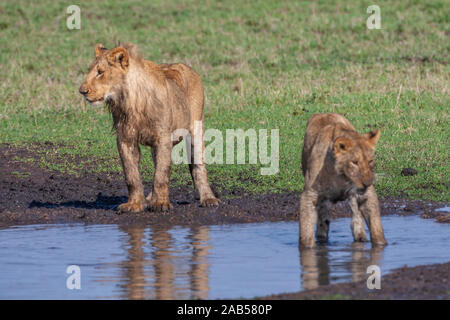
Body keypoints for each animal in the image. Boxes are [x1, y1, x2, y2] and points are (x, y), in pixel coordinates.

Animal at [79, 42, 220, 212]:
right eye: (90, 70)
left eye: (100, 72)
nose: (82, 91)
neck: (130, 101)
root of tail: (187, 67)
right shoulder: (125, 139)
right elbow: (132, 175)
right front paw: (135, 204)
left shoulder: (163, 137)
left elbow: (161, 174)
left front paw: (160, 204)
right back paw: (149, 199)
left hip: (196, 129)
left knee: (198, 166)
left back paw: (208, 199)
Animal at [298, 112, 386, 248]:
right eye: (354, 162)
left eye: (370, 161)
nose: (368, 183)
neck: (340, 176)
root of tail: (324, 113)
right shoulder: (309, 194)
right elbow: (306, 230)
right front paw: (308, 249)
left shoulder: (367, 194)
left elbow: (376, 227)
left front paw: (381, 245)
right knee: (322, 213)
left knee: (356, 213)